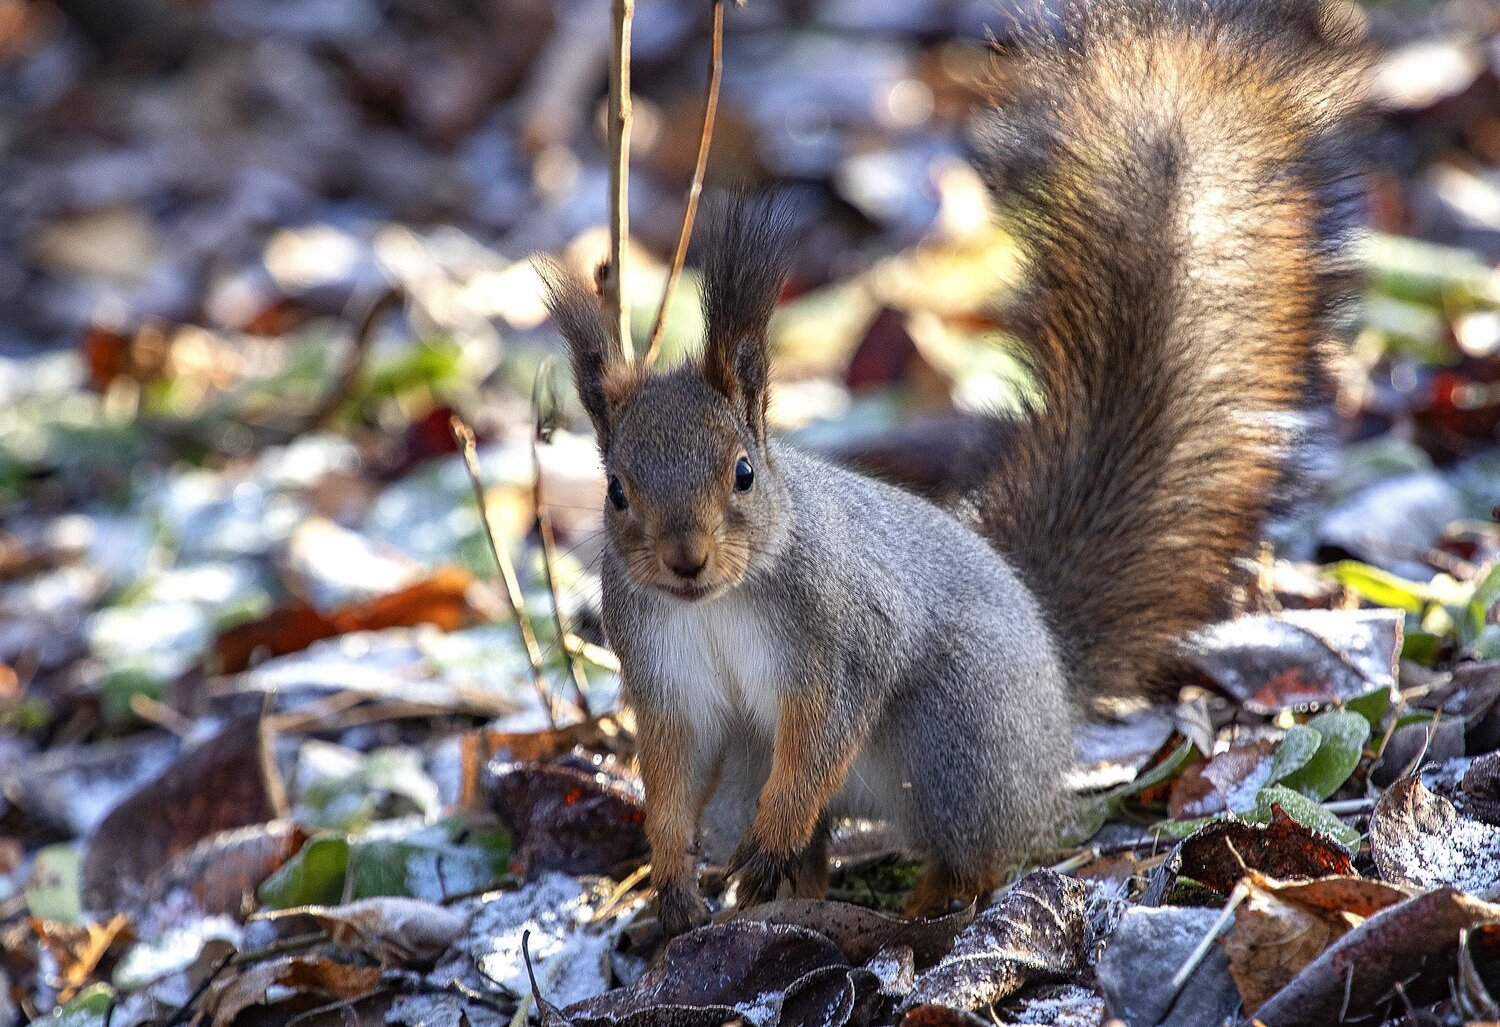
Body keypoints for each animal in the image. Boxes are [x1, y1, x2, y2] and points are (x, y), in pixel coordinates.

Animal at [542, 0, 1369, 934]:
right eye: (616, 491)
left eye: (744, 472)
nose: (684, 561)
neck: (719, 601)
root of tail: (1055, 684)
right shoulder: (665, 680)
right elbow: (670, 776)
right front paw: (672, 878)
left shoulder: (846, 636)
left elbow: (822, 737)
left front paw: (766, 838)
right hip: (758, 766)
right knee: (807, 833)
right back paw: (787, 891)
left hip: (958, 738)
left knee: (971, 847)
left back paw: (921, 895)